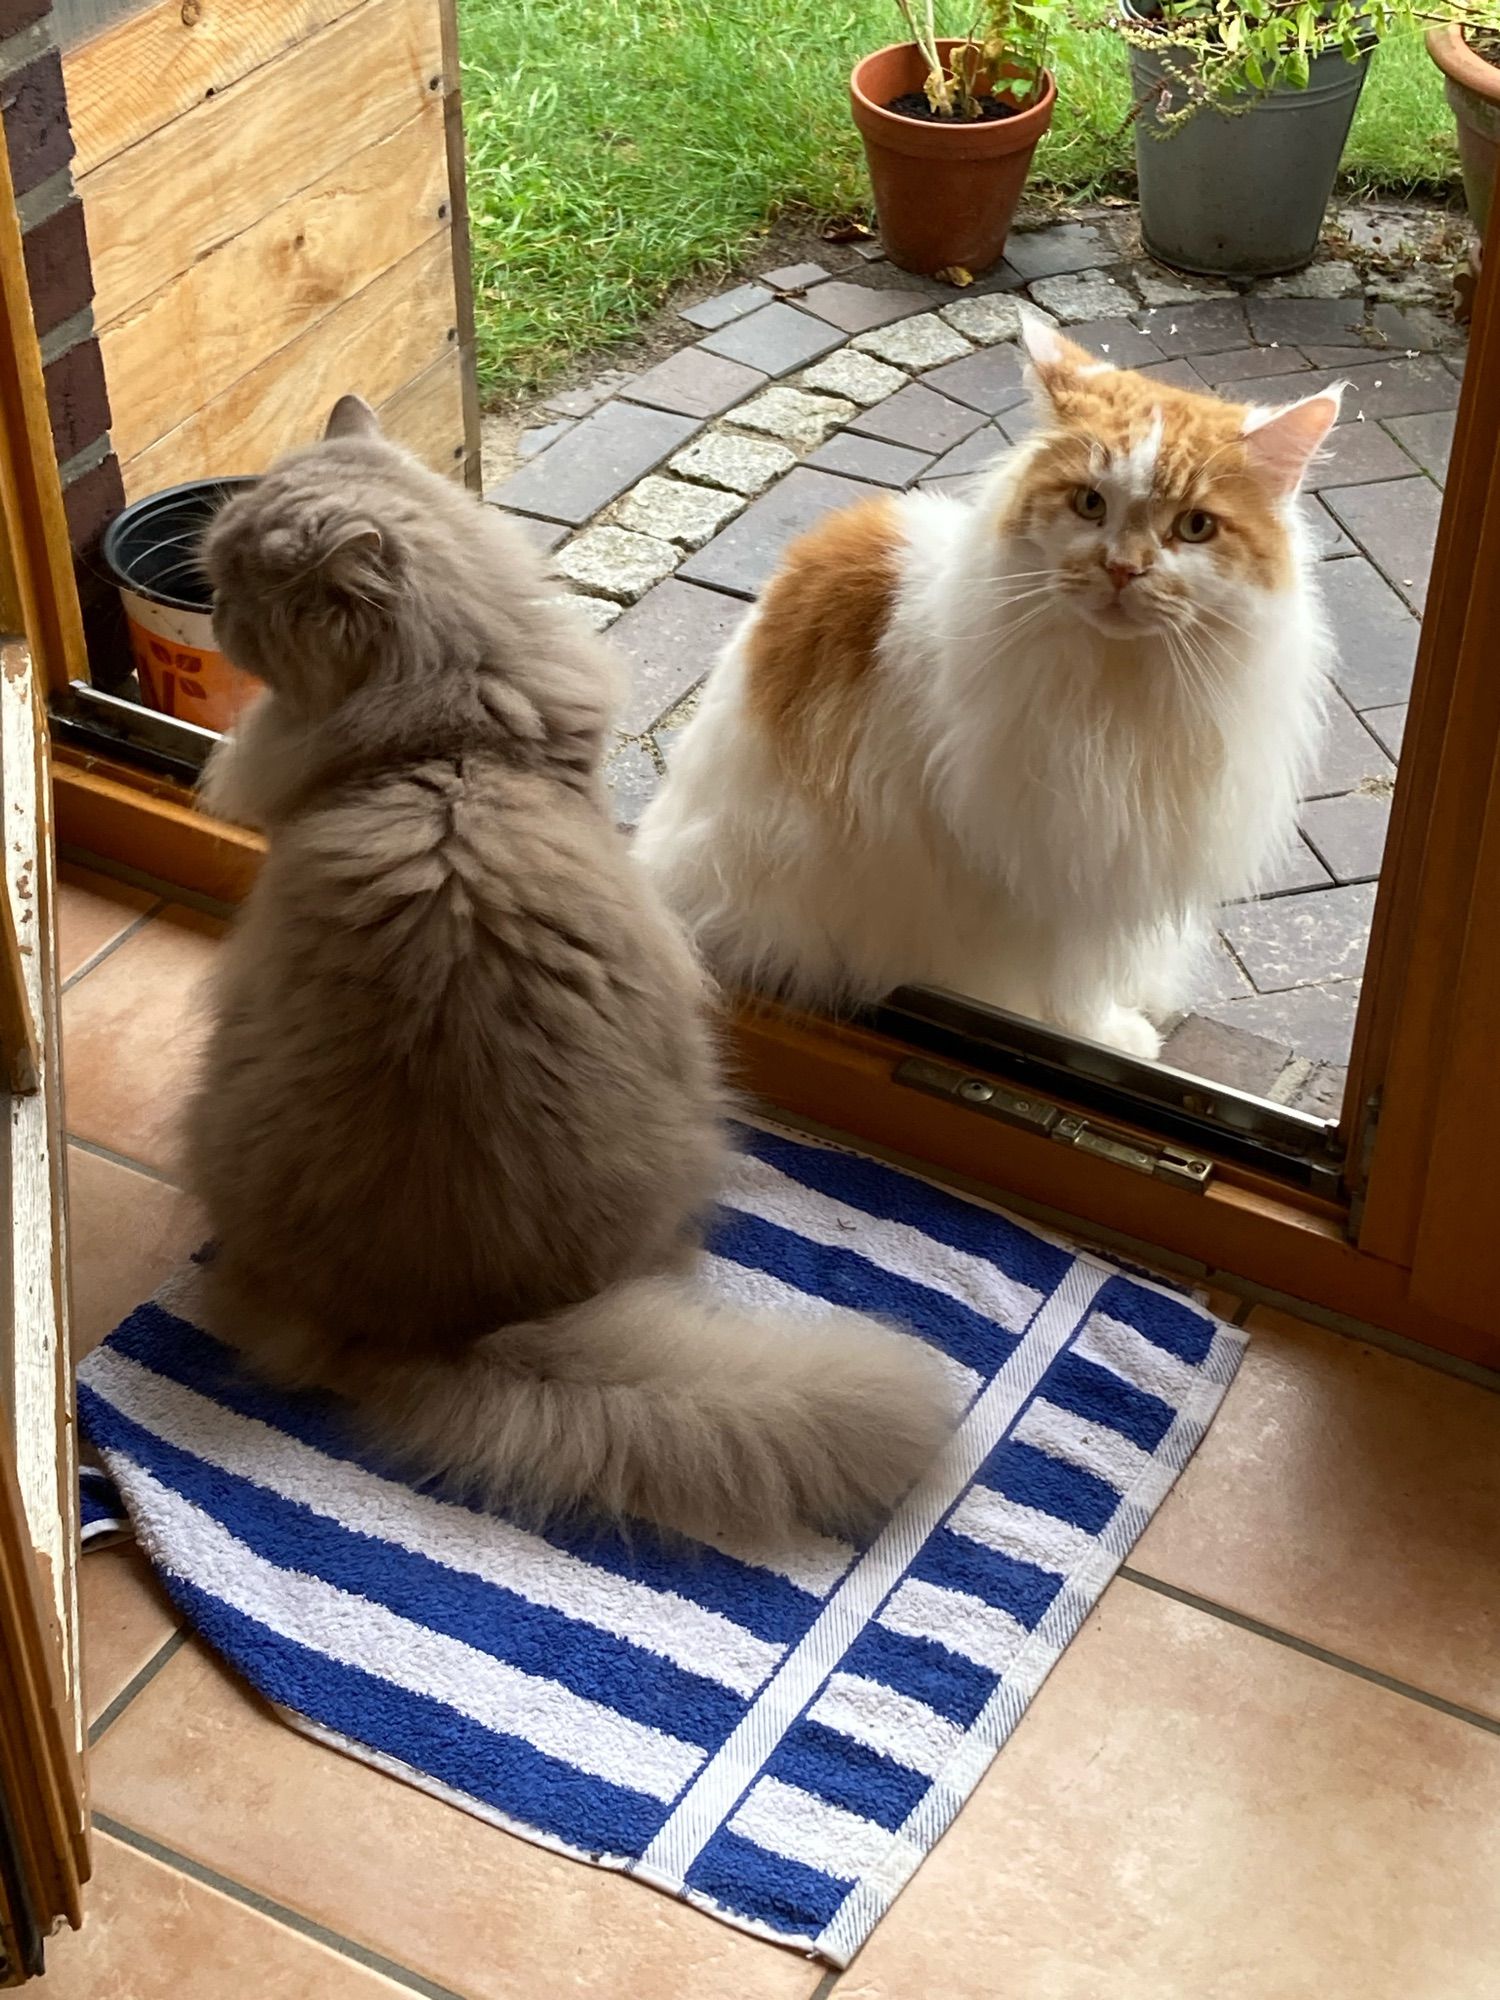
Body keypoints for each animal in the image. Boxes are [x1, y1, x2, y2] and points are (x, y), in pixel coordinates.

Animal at [640, 316, 1344, 1064]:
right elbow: (1076, 981)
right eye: (1090, 504)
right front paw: (1109, 1034)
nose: (1122, 569)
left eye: (1196, 526)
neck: (1121, 683)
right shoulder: (1051, 870)